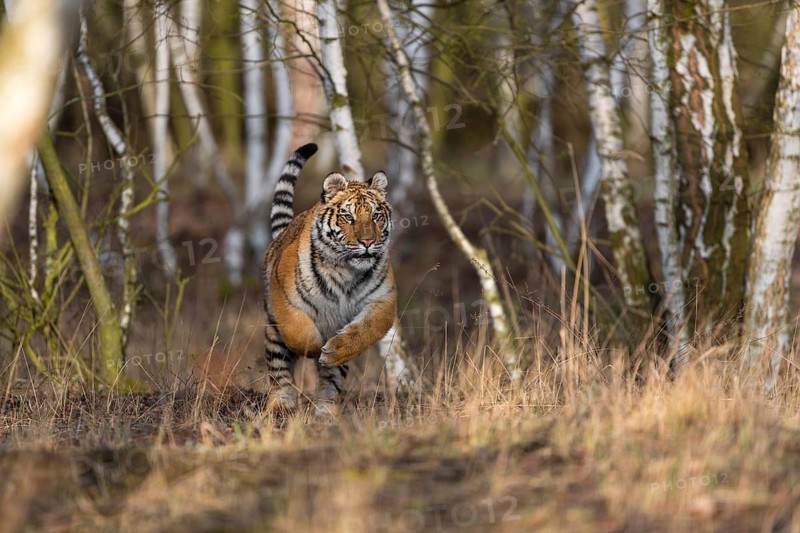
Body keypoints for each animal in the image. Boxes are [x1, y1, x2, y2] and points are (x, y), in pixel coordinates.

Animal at [263, 143, 397, 414]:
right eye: (348, 217)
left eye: (376, 216)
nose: (368, 242)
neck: (347, 271)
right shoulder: (285, 298)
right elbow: (300, 334)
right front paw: (315, 348)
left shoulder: (384, 299)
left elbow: (366, 330)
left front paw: (335, 350)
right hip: (273, 332)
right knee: (279, 368)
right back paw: (282, 403)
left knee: (329, 382)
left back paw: (325, 410)